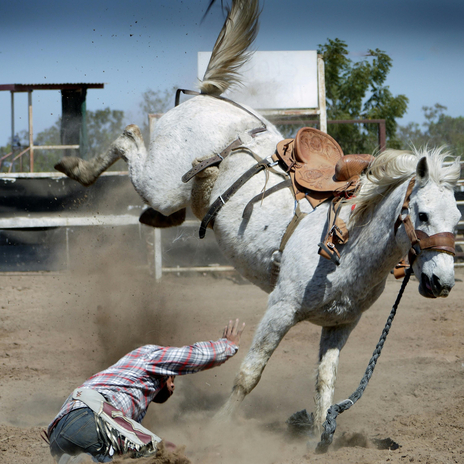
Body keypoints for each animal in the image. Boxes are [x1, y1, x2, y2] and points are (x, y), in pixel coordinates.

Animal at [54, 0, 460, 432]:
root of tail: (208, 97)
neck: (347, 245)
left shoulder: (340, 325)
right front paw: (218, 429)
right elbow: (250, 373)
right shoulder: (279, 310)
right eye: (422, 214)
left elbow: (325, 384)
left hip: (173, 194)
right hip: (160, 183)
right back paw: (76, 167)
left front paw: (320, 436)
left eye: (457, 220)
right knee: (128, 136)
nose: (442, 283)